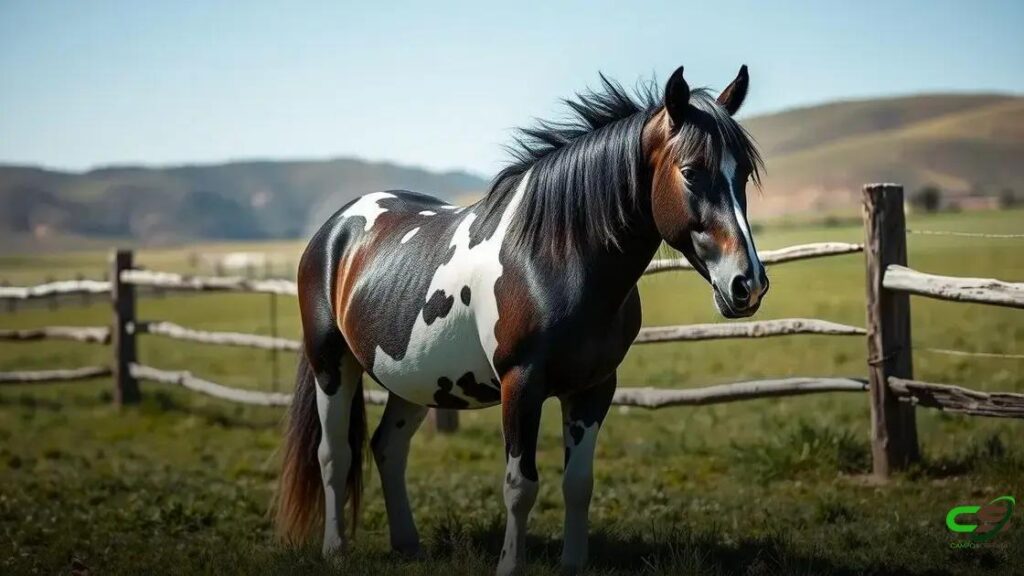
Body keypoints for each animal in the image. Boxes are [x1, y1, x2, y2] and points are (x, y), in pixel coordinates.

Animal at [276, 64, 768, 575]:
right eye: (690, 172)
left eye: (744, 173)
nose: (747, 284)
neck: (554, 258)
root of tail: (334, 229)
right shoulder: (521, 384)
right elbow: (520, 485)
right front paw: (511, 565)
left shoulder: (594, 388)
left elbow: (578, 484)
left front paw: (573, 564)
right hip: (331, 365)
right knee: (334, 454)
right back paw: (335, 548)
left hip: (413, 379)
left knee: (387, 449)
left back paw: (408, 544)